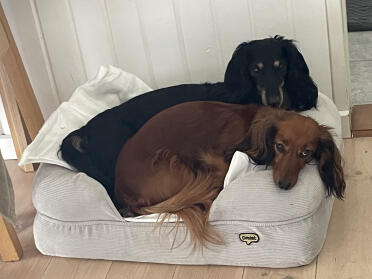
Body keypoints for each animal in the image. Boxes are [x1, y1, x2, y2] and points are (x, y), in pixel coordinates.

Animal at [114, 101, 346, 248]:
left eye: (306, 153)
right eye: (279, 146)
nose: (284, 185)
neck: (252, 127)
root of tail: (124, 193)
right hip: (175, 164)